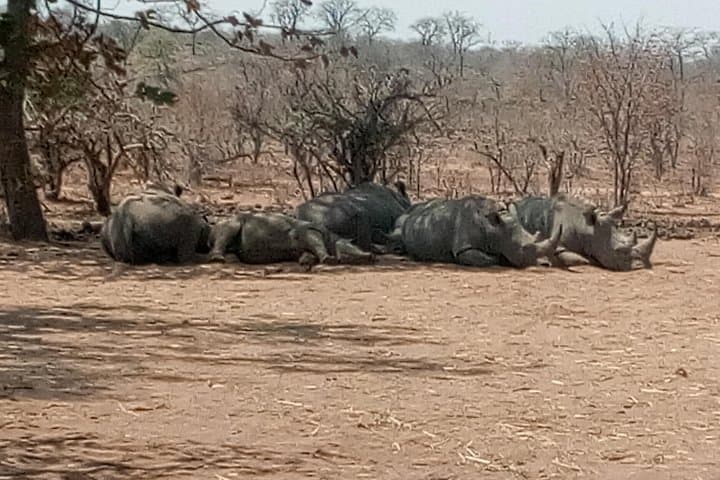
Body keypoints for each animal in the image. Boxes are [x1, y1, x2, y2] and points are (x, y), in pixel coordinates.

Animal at [208, 211, 374, 267]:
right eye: (351, 251)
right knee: (230, 227)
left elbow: (307, 254)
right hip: (229, 221)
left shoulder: (300, 246)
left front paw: (305, 261)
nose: (370, 256)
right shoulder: (310, 231)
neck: (332, 239)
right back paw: (218, 259)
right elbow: (317, 244)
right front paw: (328, 259)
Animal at [394, 195, 562, 268]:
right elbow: (487, 259)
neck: (495, 227)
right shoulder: (464, 248)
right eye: (523, 249)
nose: (533, 263)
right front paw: (498, 258)